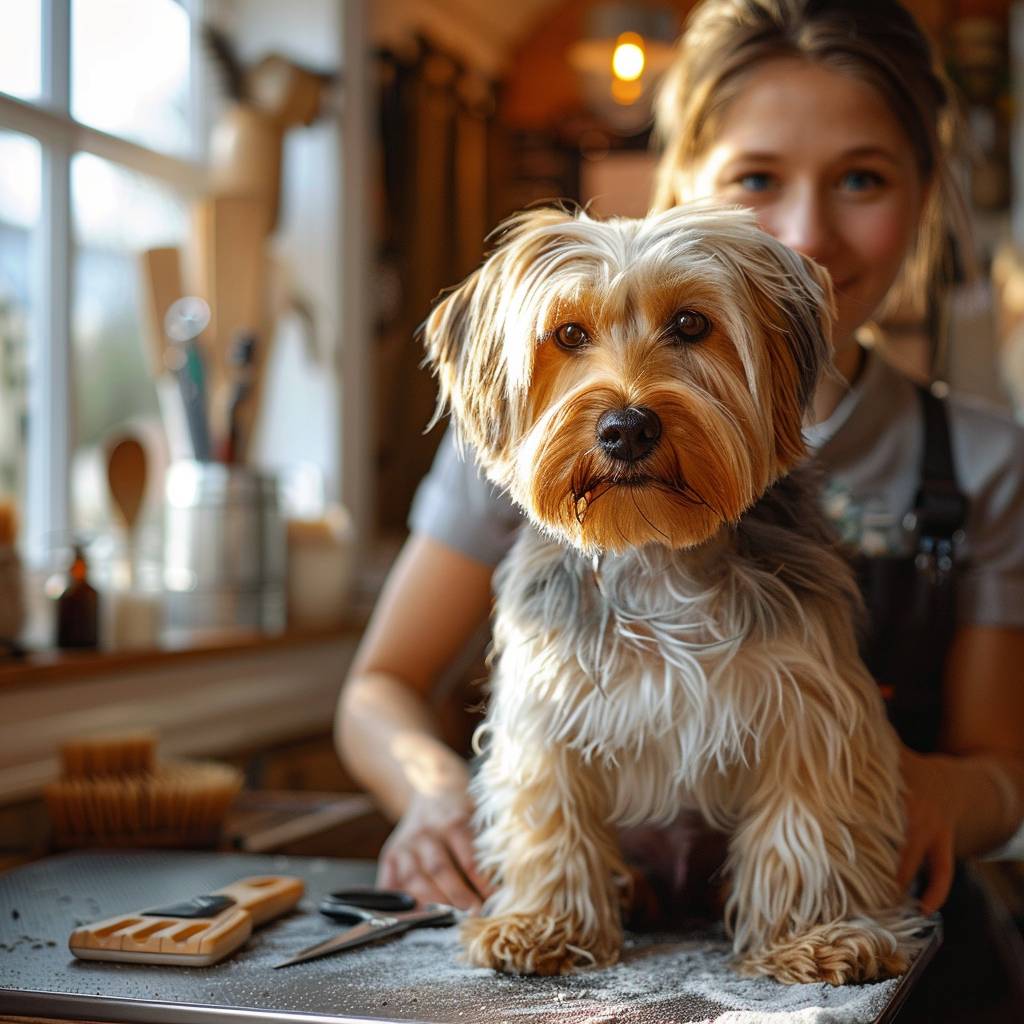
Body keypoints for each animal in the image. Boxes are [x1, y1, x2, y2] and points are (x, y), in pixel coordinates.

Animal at [419, 197, 925, 983]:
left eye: (690, 324)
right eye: (569, 333)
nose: (626, 427)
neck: (656, 552)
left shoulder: (808, 703)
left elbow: (808, 818)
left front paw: (816, 933)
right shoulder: (547, 708)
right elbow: (550, 813)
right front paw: (545, 924)